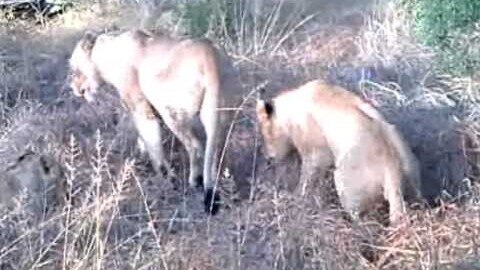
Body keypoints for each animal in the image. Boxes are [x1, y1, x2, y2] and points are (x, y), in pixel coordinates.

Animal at [67, 29, 244, 215]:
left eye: (74, 69)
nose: (73, 88)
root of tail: (209, 55)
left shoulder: (140, 107)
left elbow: (152, 141)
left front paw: (164, 176)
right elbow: (144, 139)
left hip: (171, 111)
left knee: (196, 147)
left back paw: (195, 181)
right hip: (221, 115)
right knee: (215, 151)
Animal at [256, 79, 422, 225]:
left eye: (264, 132)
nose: (269, 158)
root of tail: (393, 172)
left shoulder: (315, 148)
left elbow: (308, 174)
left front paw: (296, 196)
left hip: (346, 183)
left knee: (359, 217)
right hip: (412, 182)